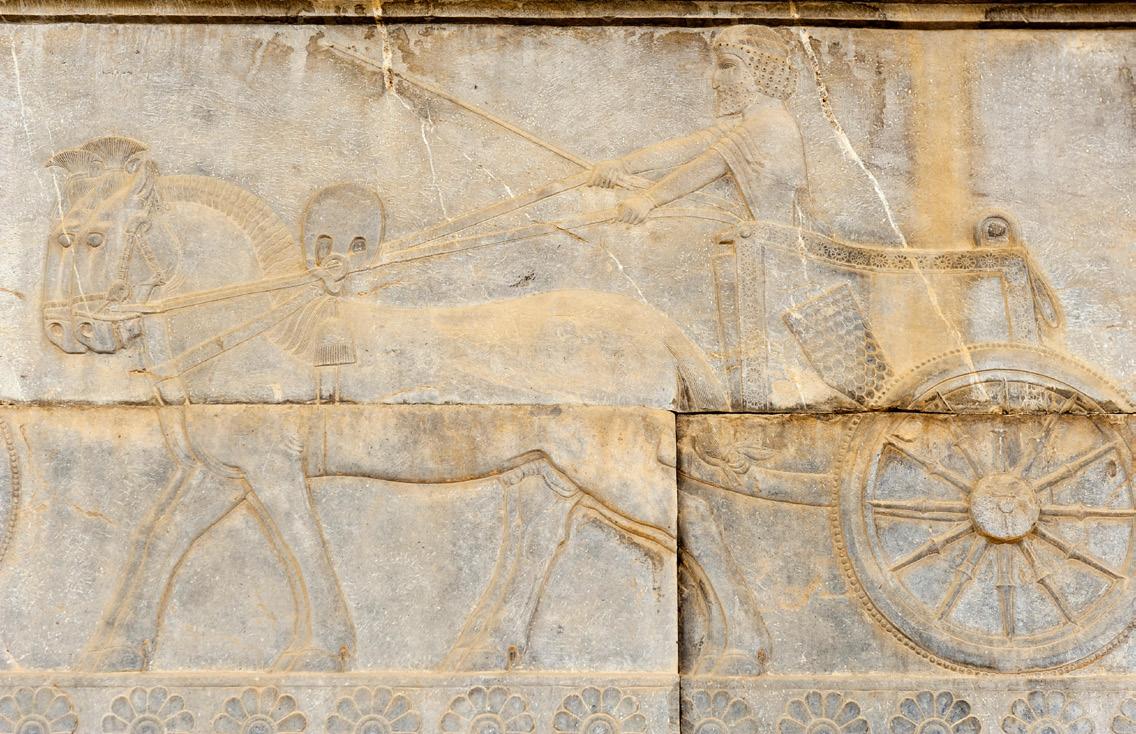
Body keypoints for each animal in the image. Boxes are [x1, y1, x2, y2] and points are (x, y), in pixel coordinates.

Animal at [39, 135, 768, 674]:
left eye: (94, 238)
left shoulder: (270, 468)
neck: (255, 327)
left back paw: (739, 653)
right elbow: (158, 534)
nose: (64, 331)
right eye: (59, 239)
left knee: (696, 514)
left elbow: (302, 541)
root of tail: (659, 326)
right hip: (550, 468)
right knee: (543, 536)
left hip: (607, 460)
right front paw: (112, 651)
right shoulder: (218, 470)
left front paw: (316, 652)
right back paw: (480, 652)